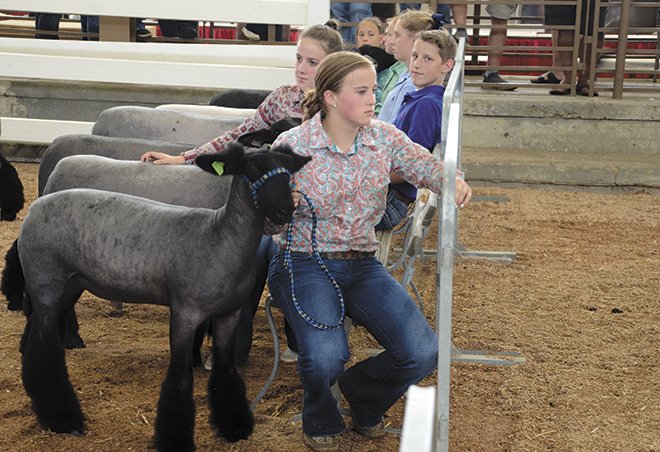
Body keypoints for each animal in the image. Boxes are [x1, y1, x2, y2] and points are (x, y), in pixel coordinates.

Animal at [15, 143, 311, 451]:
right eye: (252, 168)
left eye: (289, 170)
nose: (285, 210)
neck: (218, 237)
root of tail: (36, 206)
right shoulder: (185, 312)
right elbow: (180, 380)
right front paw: (175, 440)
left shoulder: (231, 313)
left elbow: (225, 370)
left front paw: (234, 427)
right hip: (45, 279)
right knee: (47, 347)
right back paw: (65, 420)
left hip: (70, 284)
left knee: (37, 339)